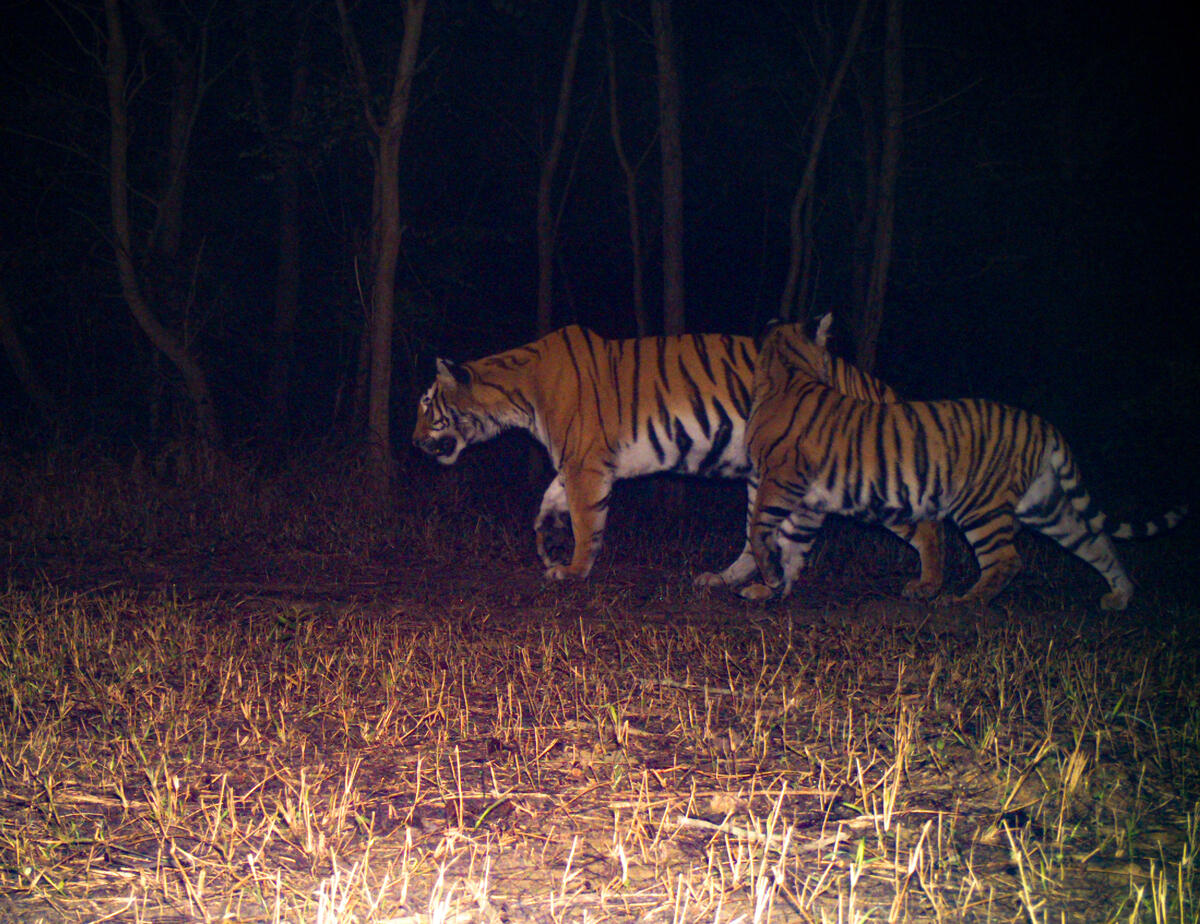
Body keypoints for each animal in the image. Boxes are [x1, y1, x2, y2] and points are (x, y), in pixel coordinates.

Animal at [412, 323, 944, 591]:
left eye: (426, 406)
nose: (414, 442)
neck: (515, 392)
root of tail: (865, 380)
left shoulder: (585, 463)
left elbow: (587, 522)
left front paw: (573, 570)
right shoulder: (575, 462)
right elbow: (548, 501)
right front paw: (548, 541)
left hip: (857, 477)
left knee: (926, 525)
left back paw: (930, 586)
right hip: (768, 478)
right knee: (758, 536)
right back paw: (725, 580)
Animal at [740, 316, 1186, 609]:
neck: (786, 369)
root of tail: (1042, 424)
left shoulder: (780, 480)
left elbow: (762, 528)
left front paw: (768, 579)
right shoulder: (806, 497)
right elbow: (791, 543)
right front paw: (773, 588)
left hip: (980, 505)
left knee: (1006, 559)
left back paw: (962, 601)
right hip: (1045, 505)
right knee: (1095, 540)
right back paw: (1120, 594)